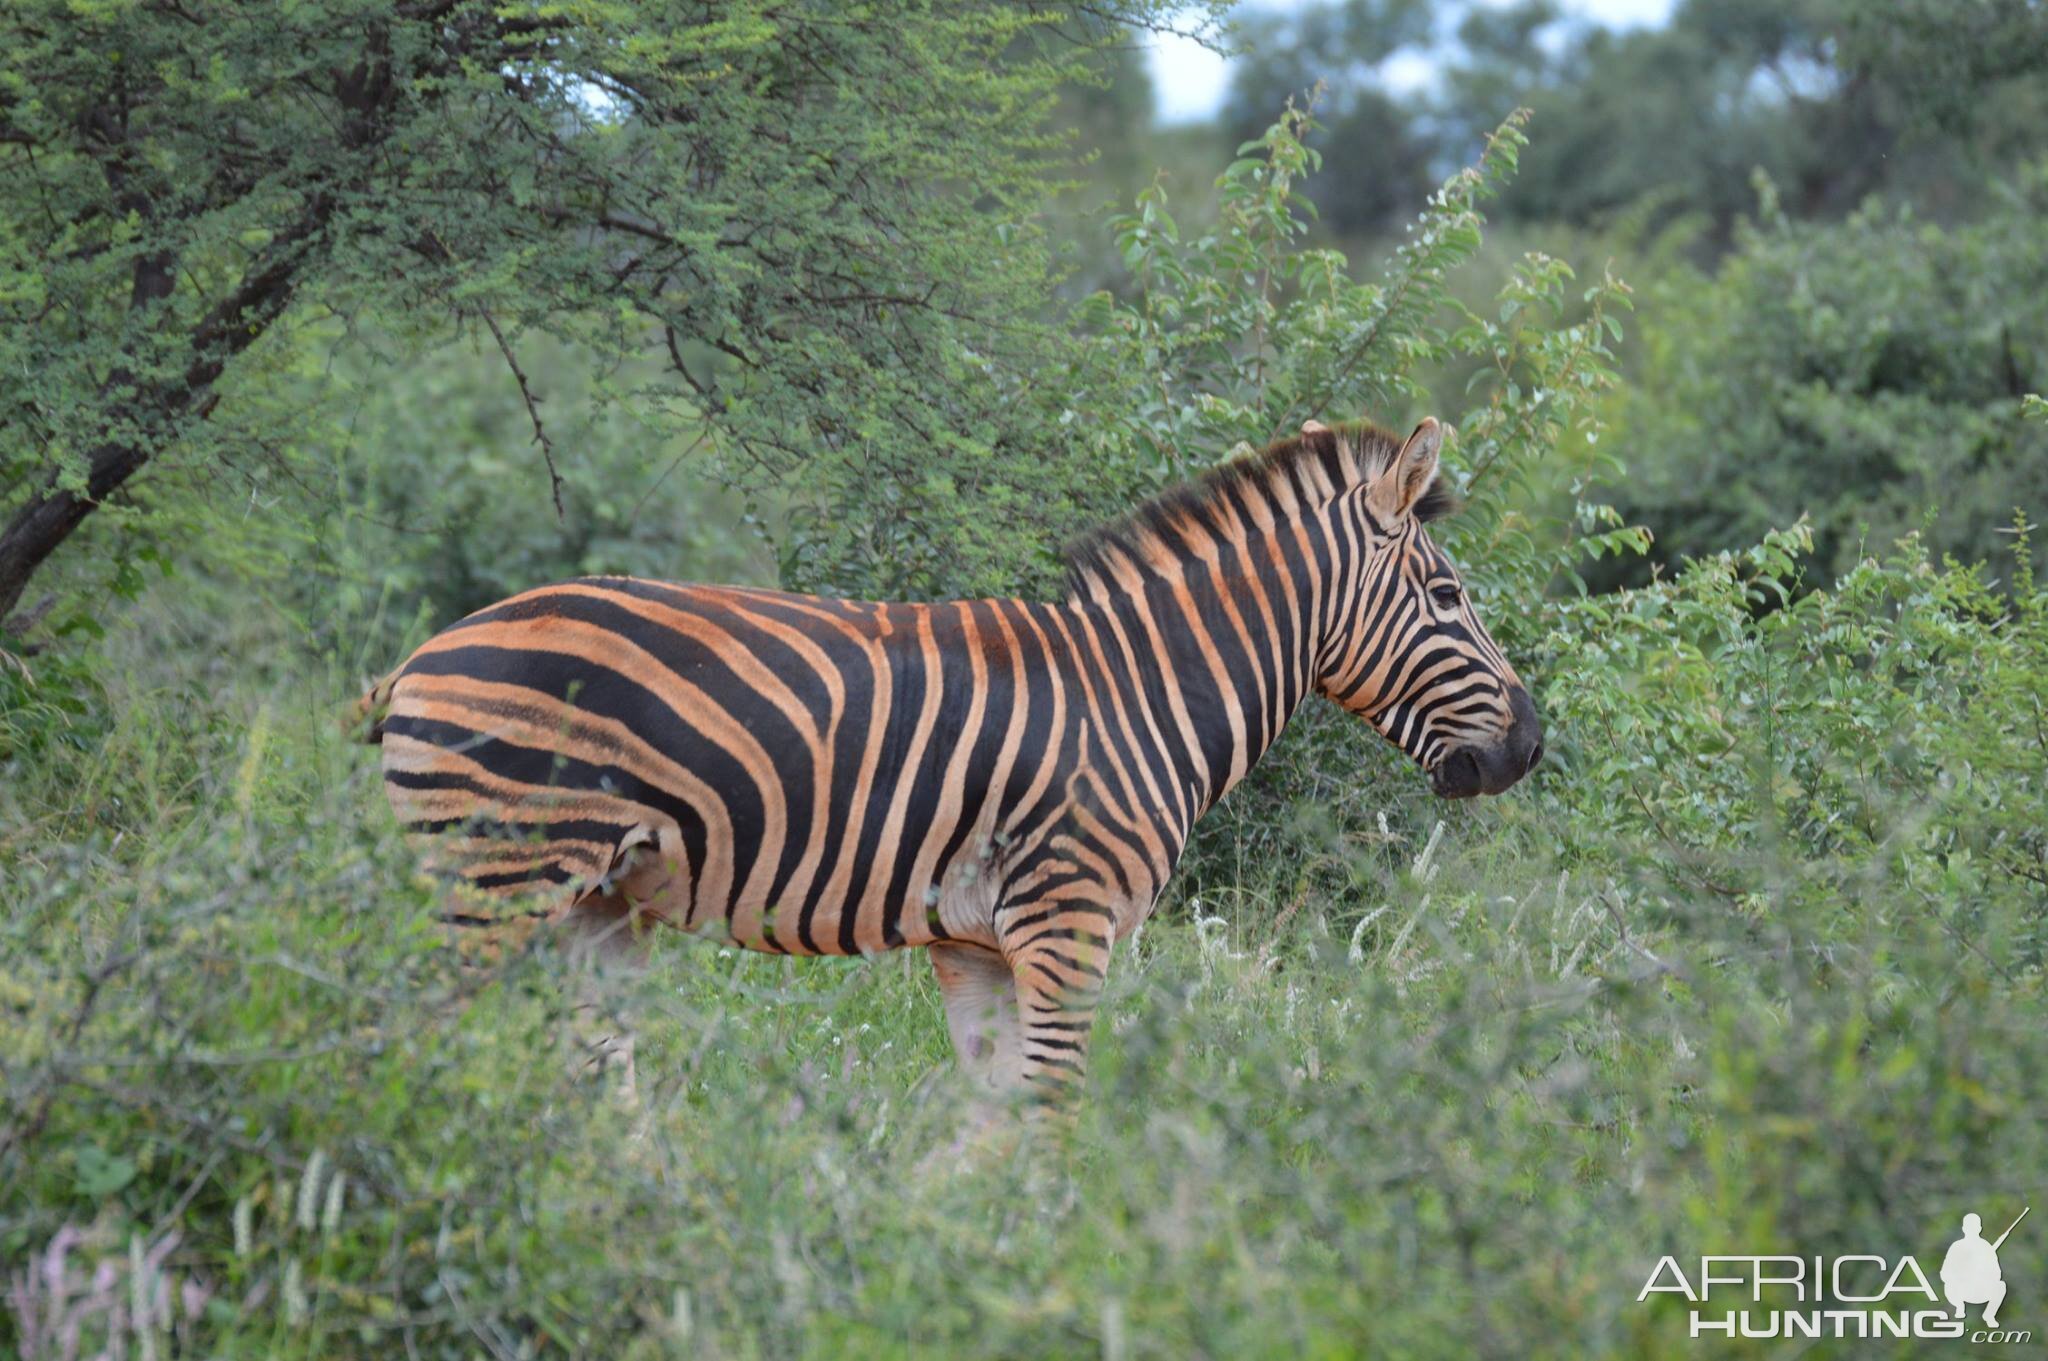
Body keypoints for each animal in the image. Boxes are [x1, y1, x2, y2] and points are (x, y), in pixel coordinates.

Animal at [356, 417, 1540, 1105]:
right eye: (1447, 595)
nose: (1529, 745)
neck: (1142, 689)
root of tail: (423, 653)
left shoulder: (976, 944)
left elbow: (990, 1120)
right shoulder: (1070, 920)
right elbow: (1050, 1110)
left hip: (597, 906)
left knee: (594, 1076)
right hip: (491, 881)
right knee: (390, 1030)